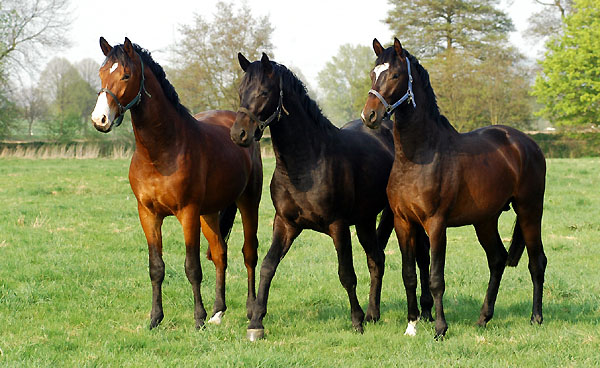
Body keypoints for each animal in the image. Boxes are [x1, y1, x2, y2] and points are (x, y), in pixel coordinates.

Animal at [89, 37, 262, 330]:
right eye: (101, 73)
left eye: (126, 75)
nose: (99, 119)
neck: (161, 151)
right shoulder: (148, 214)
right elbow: (156, 267)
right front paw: (155, 318)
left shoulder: (188, 213)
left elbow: (192, 267)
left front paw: (198, 319)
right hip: (210, 213)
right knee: (220, 253)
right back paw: (218, 311)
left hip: (248, 201)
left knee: (249, 253)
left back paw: (250, 311)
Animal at [232, 53, 434, 340]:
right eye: (241, 91)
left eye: (263, 92)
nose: (238, 133)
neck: (307, 163)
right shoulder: (285, 224)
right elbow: (268, 266)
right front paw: (256, 323)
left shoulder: (338, 226)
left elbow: (346, 274)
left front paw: (356, 321)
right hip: (365, 221)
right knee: (377, 259)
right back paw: (374, 313)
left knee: (421, 254)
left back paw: (424, 311)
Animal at [360, 38, 548, 340]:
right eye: (373, 73)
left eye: (396, 75)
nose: (370, 115)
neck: (419, 156)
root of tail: (528, 144)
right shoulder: (403, 222)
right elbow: (409, 275)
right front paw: (412, 326)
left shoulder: (436, 224)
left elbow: (436, 278)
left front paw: (440, 329)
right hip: (485, 220)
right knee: (497, 260)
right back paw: (483, 318)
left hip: (530, 210)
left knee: (536, 261)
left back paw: (536, 318)